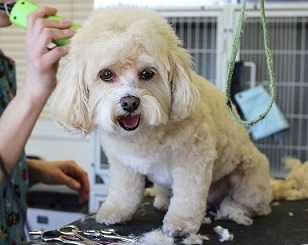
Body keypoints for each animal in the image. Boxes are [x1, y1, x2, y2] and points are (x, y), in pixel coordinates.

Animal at [51, 6, 274, 237]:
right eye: (106, 74)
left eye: (147, 73)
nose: (130, 102)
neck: (142, 135)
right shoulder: (123, 163)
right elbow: (124, 191)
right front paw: (115, 211)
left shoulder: (194, 160)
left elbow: (188, 196)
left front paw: (181, 223)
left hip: (250, 179)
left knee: (255, 204)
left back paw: (234, 208)